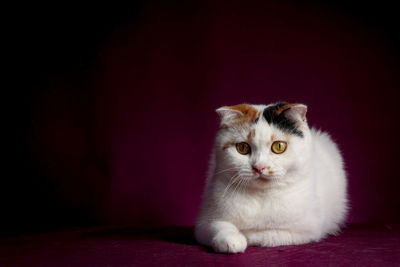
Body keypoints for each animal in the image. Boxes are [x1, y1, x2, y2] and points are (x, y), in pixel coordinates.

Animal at [194, 103, 346, 254]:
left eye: (279, 146)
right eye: (242, 147)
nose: (259, 167)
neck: (262, 196)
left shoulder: (306, 231)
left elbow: (266, 234)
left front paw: (246, 234)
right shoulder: (202, 225)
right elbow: (217, 225)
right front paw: (232, 239)